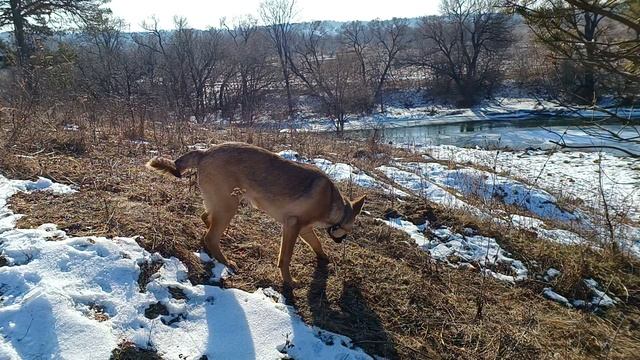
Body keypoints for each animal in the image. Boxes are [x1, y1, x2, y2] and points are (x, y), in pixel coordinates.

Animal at [146, 142, 364, 286]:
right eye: (349, 230)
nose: (341, 241)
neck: (333, 204)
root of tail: (205, 152)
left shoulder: (304, 229)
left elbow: (317, 244)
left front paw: (324, 257)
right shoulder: (292, 226)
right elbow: (285, 258)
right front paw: (289, 281)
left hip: (221, 204)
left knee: (206, 219)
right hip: (229, 206)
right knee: (211, 236)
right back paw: (226, 261)